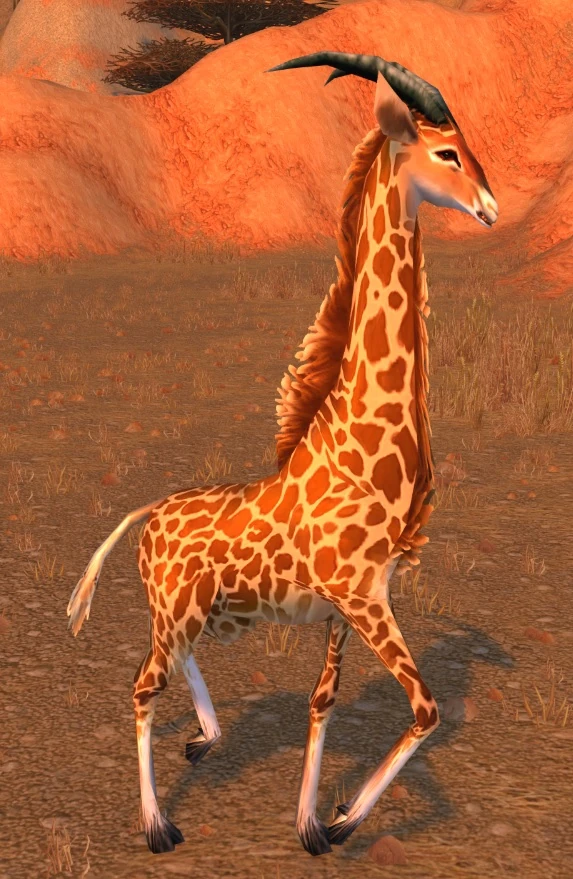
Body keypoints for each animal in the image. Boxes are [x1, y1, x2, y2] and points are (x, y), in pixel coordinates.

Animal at [67, 51, 497, 857]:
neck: (363, 446)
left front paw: (313, 823)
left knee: (174, 666)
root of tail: (146, 513)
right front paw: (343, 818)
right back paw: (158, 824)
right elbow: (425, 708)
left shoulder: (352, 603)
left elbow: (322, 704)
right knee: (143, 685)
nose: (491, 206)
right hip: (179, 609)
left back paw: (206, 737)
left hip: (200, 610)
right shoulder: (361, 596)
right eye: (447, 152)